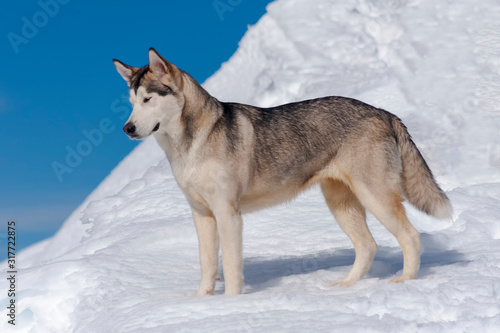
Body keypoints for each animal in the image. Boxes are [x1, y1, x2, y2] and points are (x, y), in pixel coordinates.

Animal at [113, 47, 454, 296]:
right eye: (131, 102)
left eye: (147, 99)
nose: (127, 129)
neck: (190, 144)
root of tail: (383, 112)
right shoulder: (202, 214)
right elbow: (208, 266)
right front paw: (201, 303)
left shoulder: (228, 212)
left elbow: (232, 268)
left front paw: (231, 305)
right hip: (341, 203)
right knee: (368, 246)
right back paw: (344, 287)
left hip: (376, 197)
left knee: (410, 236)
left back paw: (404, 283)